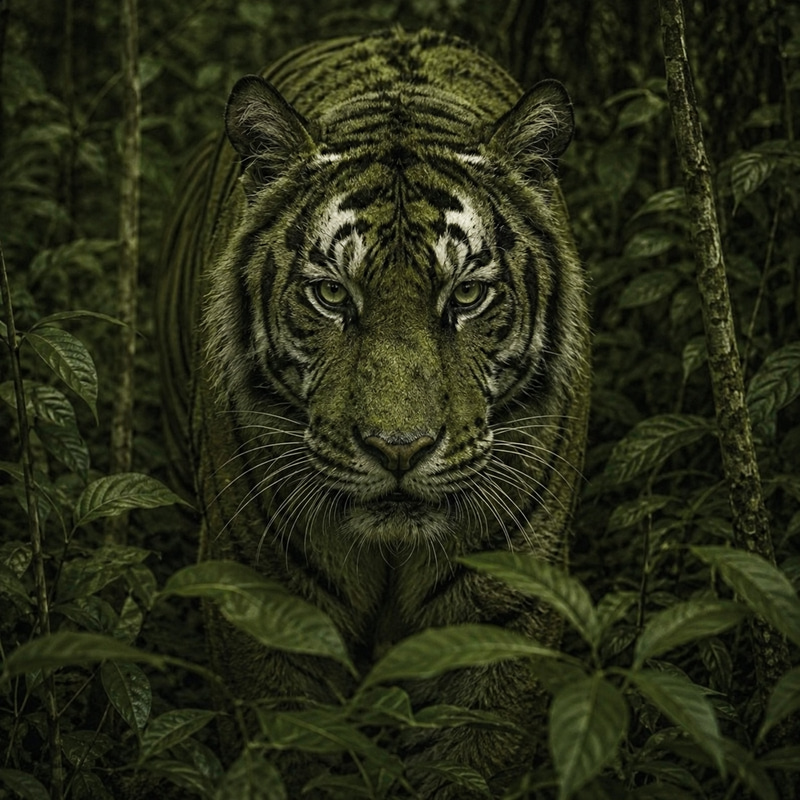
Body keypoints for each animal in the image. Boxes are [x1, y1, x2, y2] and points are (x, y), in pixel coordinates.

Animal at [158, 27, 590, 797]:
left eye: (467, 296)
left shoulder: (508, 602)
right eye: (332, 295)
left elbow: (473, 753)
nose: (398, 448)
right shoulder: (262, 598)